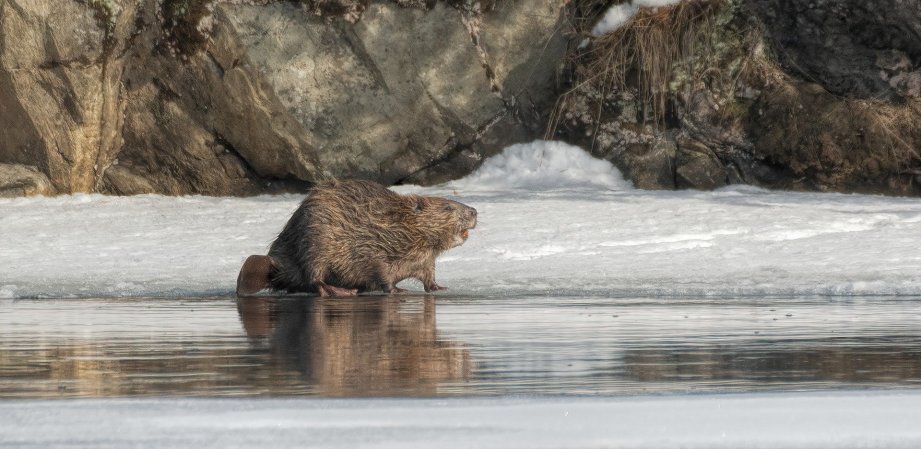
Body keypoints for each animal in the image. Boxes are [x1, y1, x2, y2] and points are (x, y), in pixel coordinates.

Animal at [234, 178, 478, 298]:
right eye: (448, 207)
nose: (474, 211)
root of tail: (275, 265)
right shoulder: (372, 246)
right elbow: (381, 272)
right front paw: (398, 290)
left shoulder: (426, 260)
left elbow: (429, 276)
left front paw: (440, 288)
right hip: (314, 240)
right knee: (314, 277)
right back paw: (341, 291)